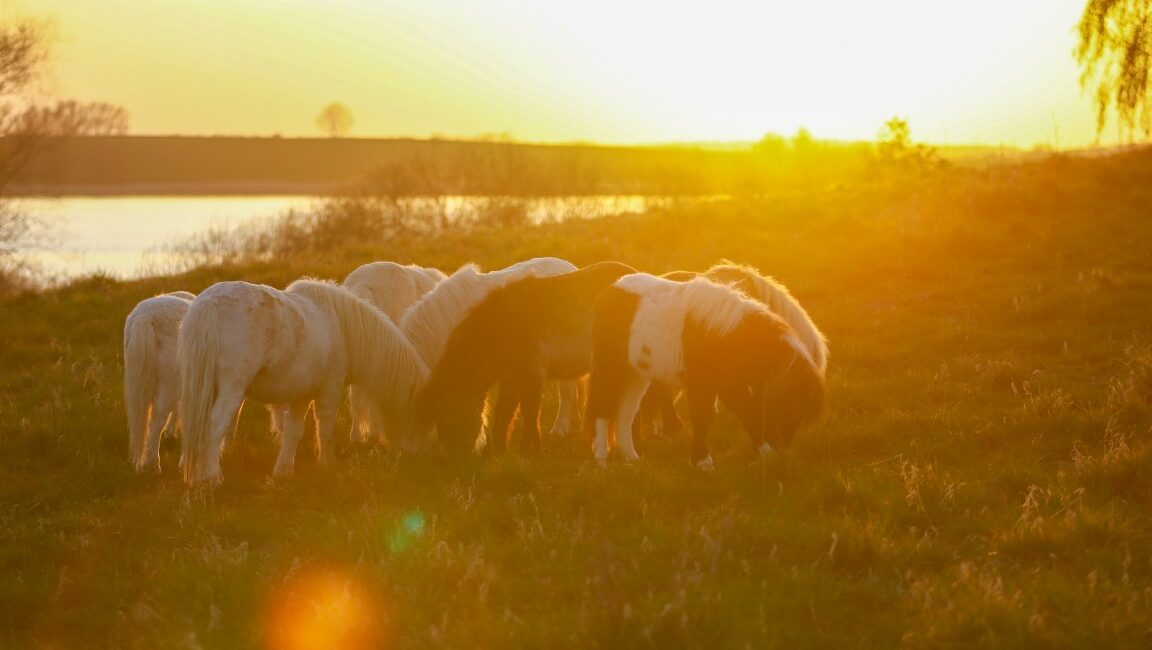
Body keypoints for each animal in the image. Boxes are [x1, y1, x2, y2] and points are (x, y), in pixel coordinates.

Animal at [177, 276, 430, 484]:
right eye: (419, 415)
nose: (419, 455)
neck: (342, 326)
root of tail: (209, 303)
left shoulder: (302, 394)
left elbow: (293, 431)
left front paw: (284, 471)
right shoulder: (330, 389)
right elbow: (325, 428)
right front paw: (327, 464)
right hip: (231, 388)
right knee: (215, 424)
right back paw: (212, 477)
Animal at [589, 273, 824, 467]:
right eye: (787, 404)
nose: (782, 446)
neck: (729, 336)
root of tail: (607, 293)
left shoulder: (729, 385)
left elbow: (745, 412)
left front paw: (765, 453)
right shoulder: (702, 384)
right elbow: (704, 417)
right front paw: (703, 461)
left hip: (636, 373)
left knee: (626, 411)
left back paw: (631, 457)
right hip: (610, 366)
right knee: (602, 407)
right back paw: (602, 459)